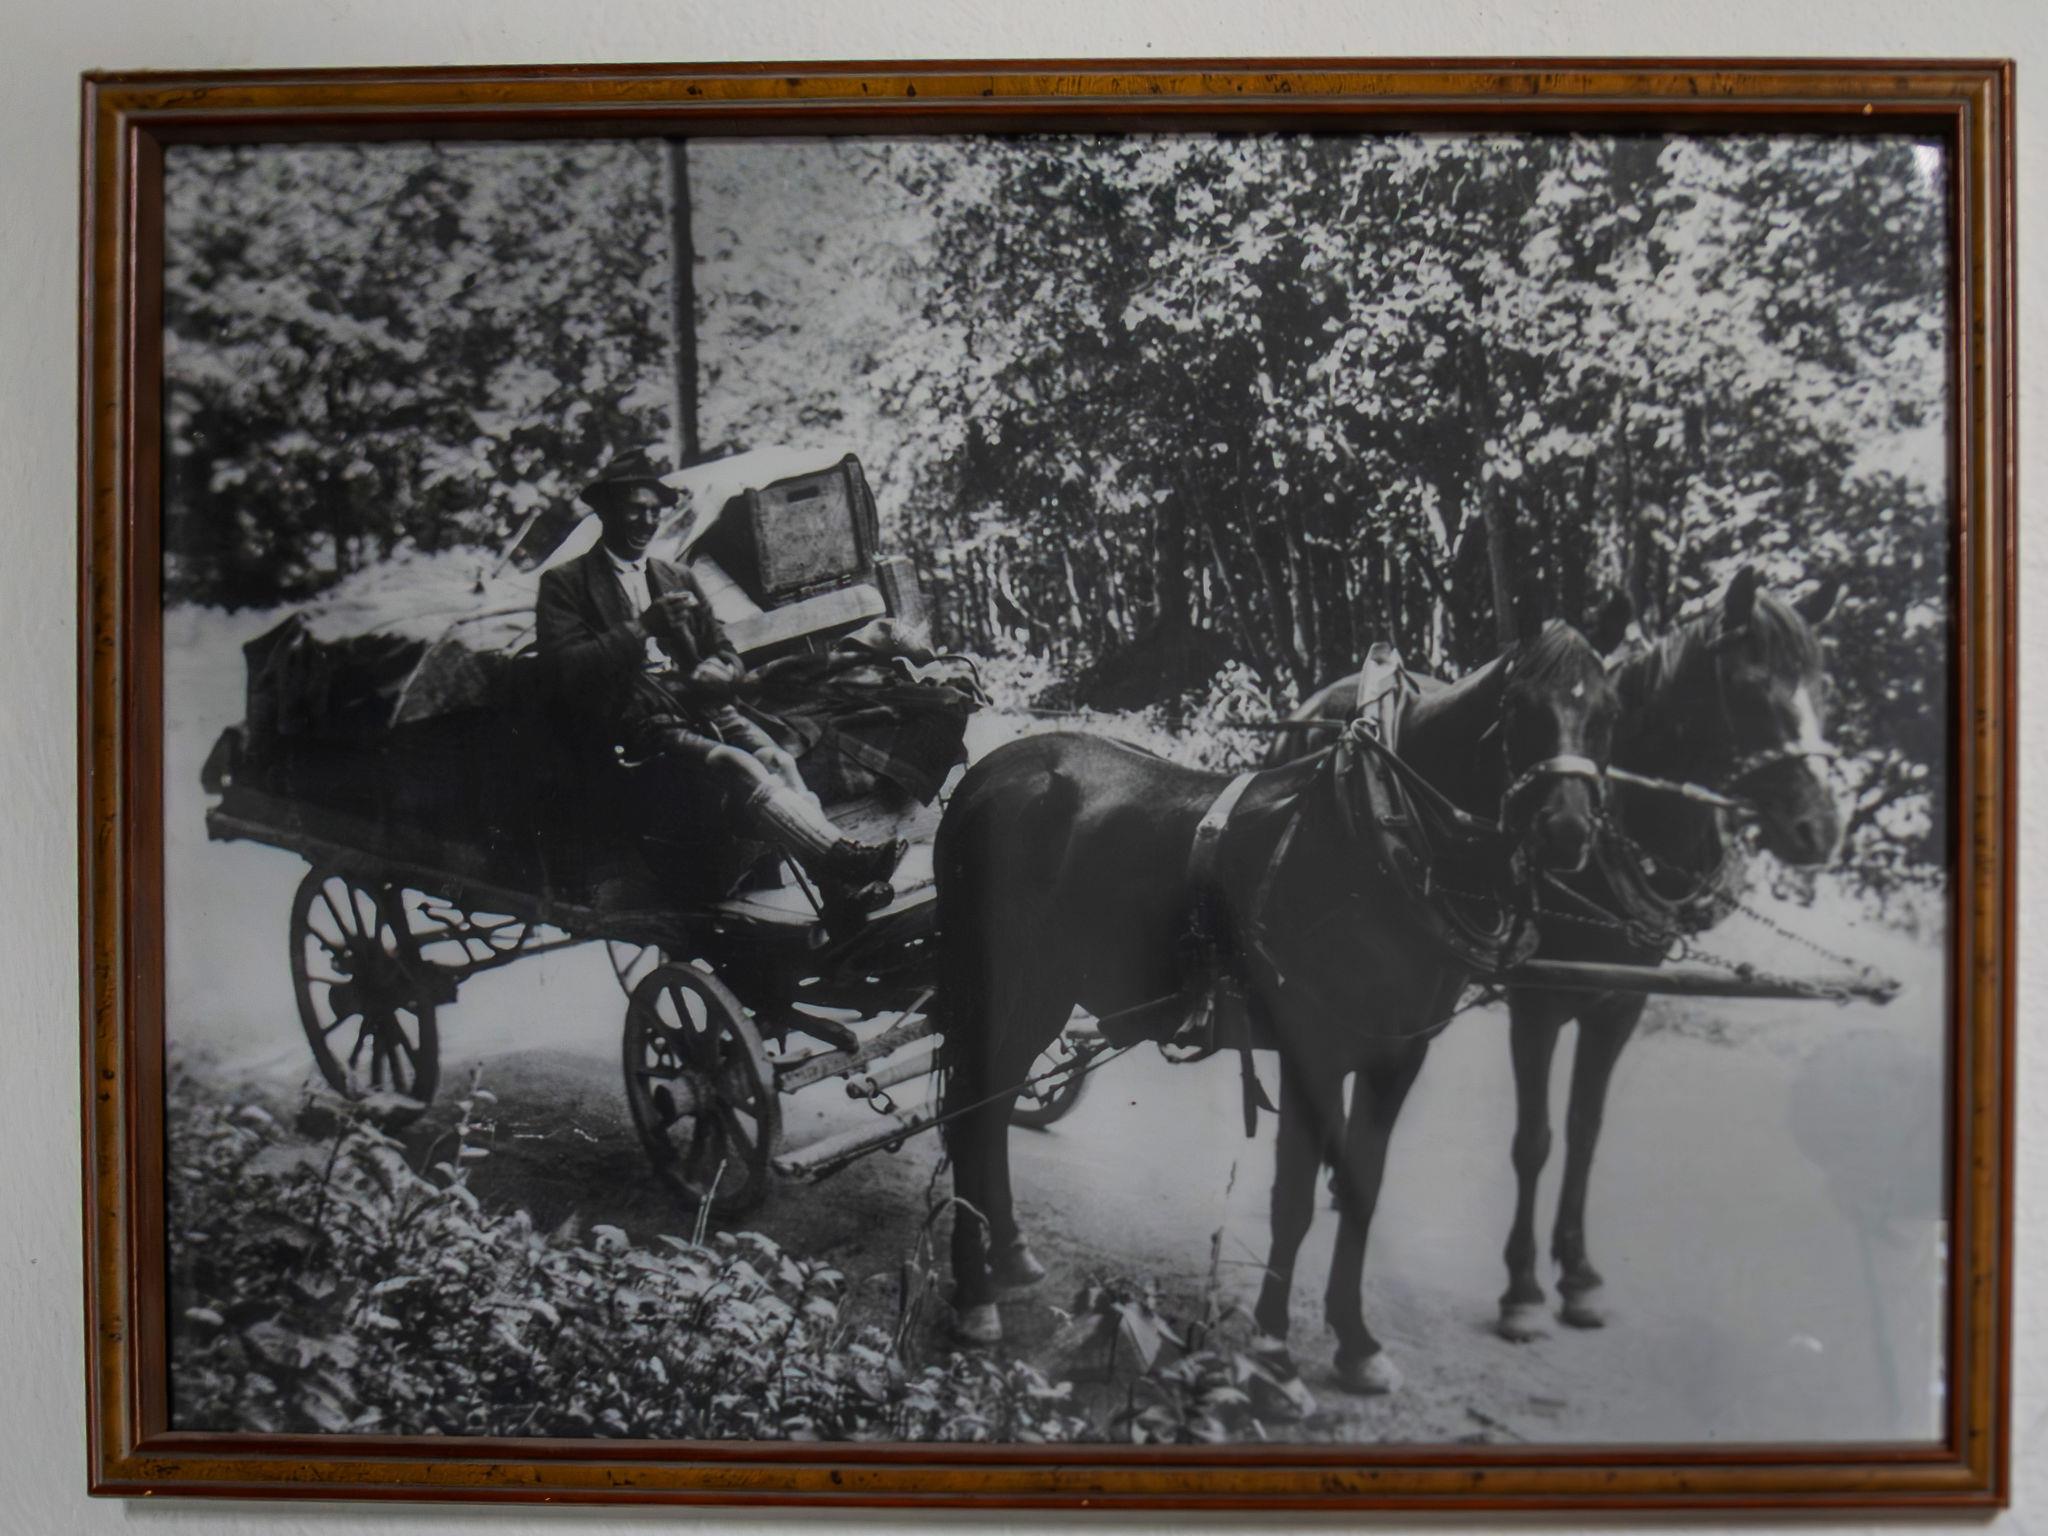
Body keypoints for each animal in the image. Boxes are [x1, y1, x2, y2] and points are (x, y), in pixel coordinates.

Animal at [931, 620, 1618, 1398]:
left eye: (1608, 712)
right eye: (1521, 706)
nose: (1568, 830)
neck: (1381, 835)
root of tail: (985, 772)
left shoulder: (1396, 1054)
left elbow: (1360, 1188)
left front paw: (1355, 1343)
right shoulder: (1311, 1049)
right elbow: (1292, 1200)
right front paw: (1272, 1353)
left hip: (1045, 994)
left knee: (990, 1107)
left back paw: (1008, 1253)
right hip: (999, 984)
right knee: (972, 1109)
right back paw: (974, 1296)